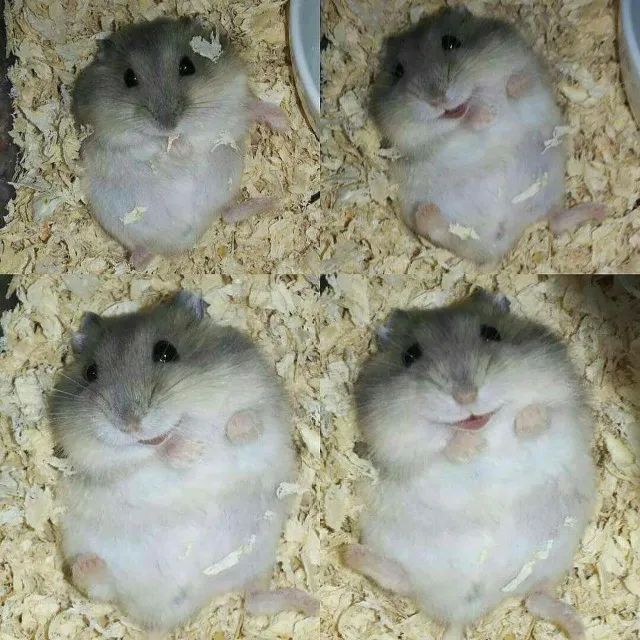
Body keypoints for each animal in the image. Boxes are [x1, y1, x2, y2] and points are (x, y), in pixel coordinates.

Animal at [48, 291, 316, 633]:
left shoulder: (266, 408)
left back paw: (310, 604)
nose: (131, 423)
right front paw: (190, 451)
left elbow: (247, 422)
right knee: (99, 588)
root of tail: (193, 598)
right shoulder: (101, 462)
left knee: (255, 600)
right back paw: (88, 565)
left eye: (166, 352)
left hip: (256, 558)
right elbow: (142, 460)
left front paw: (219, 436)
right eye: (90, 373)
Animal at [73, 17, 282, 267]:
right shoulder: (110, 136)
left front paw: (285, 122)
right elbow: (144, 144)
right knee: (139, 258)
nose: (168, 124)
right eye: (129, 78)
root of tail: (187, 239)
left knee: (229, 214)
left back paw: (272, 202)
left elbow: (244, 110)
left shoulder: (233, 95)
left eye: (187, 67)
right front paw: (176, 149)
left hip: (224, 192)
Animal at [344, 290, 595, 640]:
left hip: (554, 553)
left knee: (537, 599)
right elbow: (436, 449)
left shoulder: (566, 413)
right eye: (410, 355)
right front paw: (471, 445)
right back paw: (350, 554)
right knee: (401, 580)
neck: (483, 425)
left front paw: (525, 418)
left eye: (492, 333)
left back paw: (577, 627)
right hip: (394, 544)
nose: (466, 396)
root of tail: (467, 611)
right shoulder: (397, 448)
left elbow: (545, 416)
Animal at [370, 6, 605, 264]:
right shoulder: (413, 140)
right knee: (441, 232)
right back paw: (427, 213)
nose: (438, 99)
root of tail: (509, 232)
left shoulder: (530, 71)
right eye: (398, 72)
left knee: (555, 221)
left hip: (549, 191)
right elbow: (451, 131)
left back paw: (598, 211)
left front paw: (508, 89)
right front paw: (487, 115)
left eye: (450, 42)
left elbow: (522, 83)